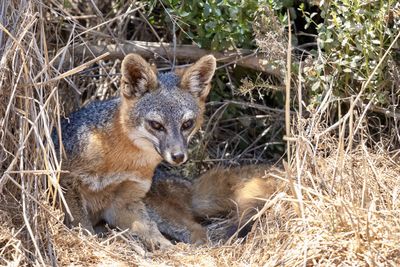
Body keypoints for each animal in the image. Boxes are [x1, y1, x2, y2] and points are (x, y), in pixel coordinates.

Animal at [53, 52, 217, 251]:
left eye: (187, 124)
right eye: (156, 125)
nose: (178, 156)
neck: (120, 162)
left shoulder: (125, 200)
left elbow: (149, 230)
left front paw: (166, 248)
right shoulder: (66, 183)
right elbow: (82, 226)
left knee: (197, 228)